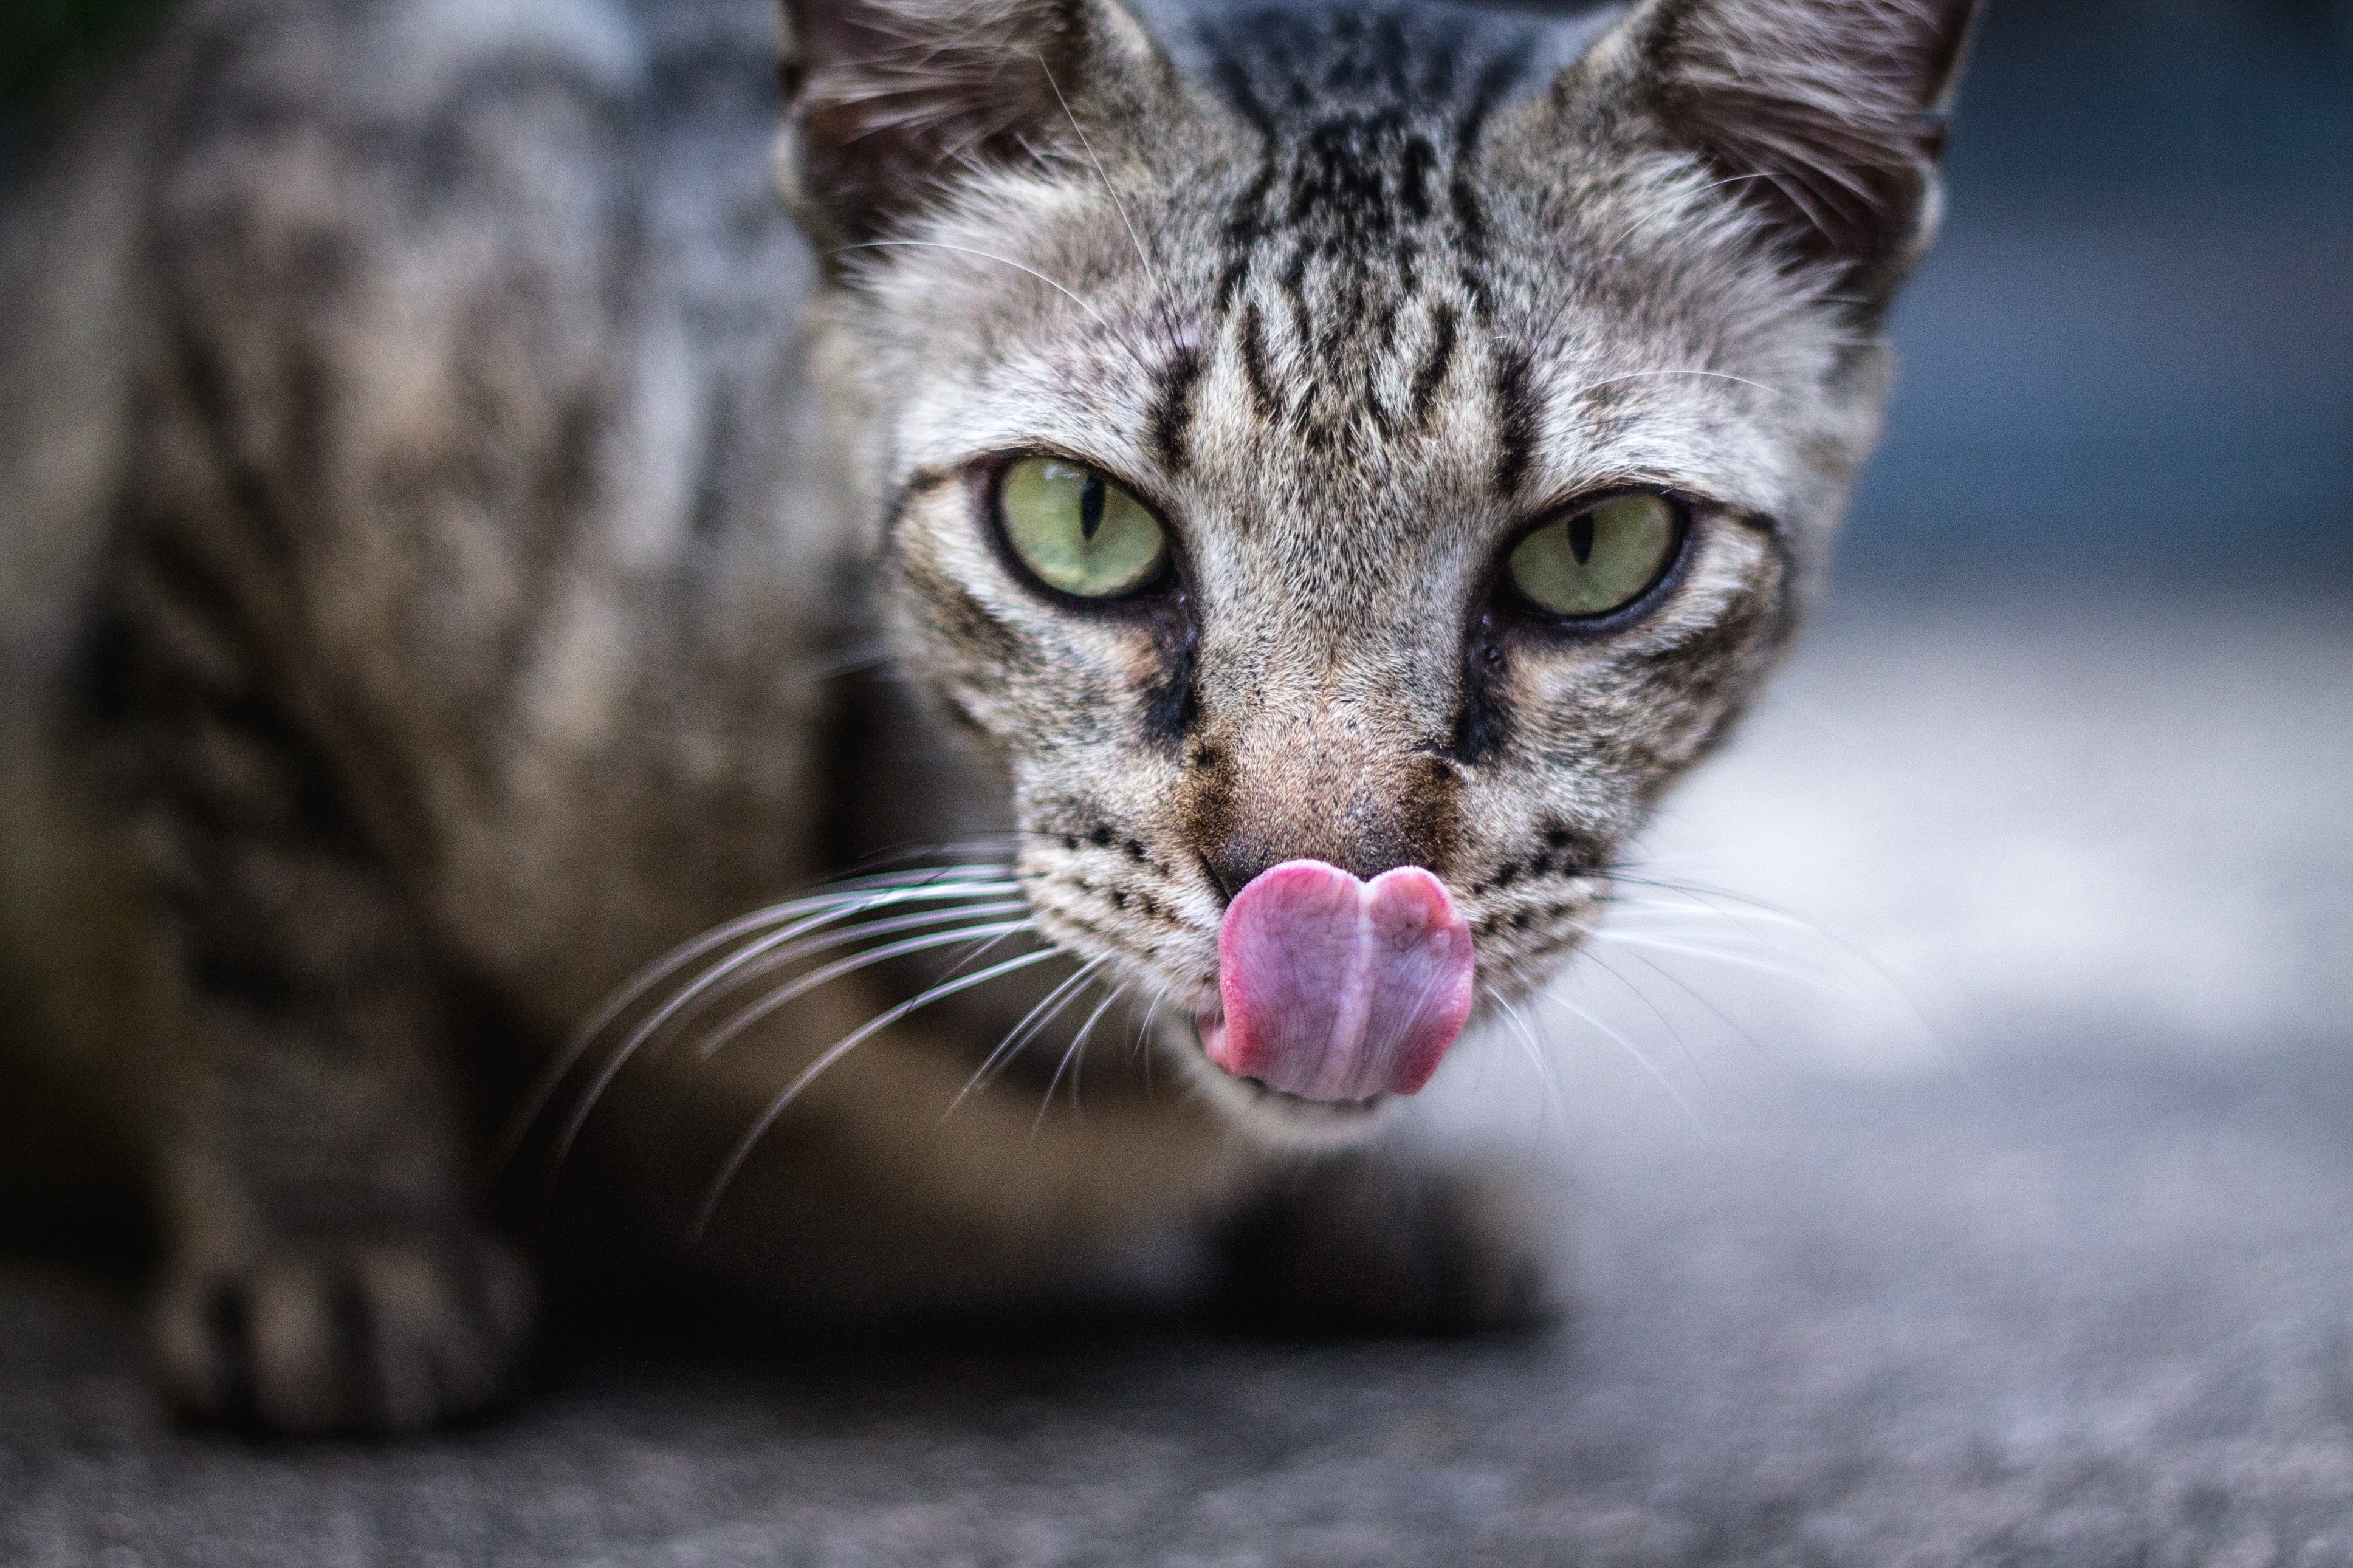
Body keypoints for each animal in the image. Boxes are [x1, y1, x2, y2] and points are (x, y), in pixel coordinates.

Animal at [0, 0, 1976, 1439]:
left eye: (1594, 550)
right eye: (1077, 520)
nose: (1327, 893)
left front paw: (1377, 1201)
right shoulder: (268, 308)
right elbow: (278, 906)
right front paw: (342, 1239)